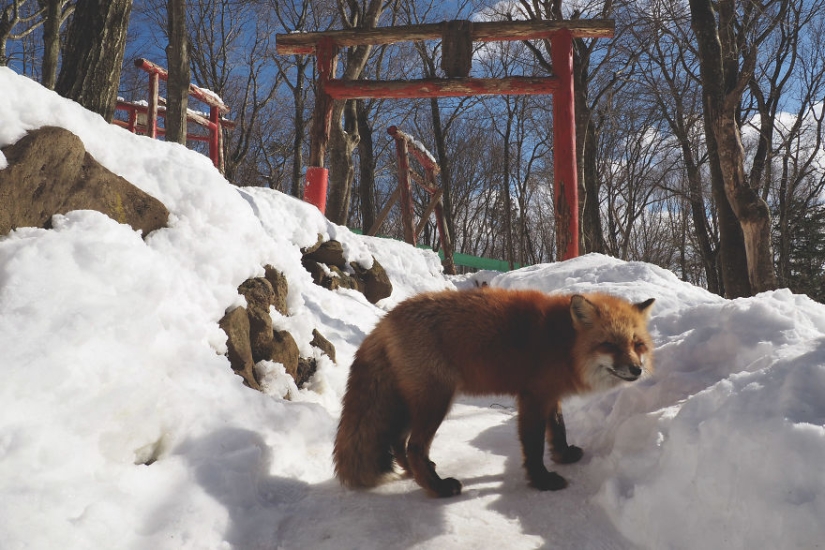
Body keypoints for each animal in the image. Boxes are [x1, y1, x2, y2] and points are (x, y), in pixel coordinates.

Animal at [333, 287, 655, 498]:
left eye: (637, 344)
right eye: (609, 344)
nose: (637, 370)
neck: (563, 343)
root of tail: (384, 321)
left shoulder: (550, 394)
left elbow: (559, 429)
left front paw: (563, 455)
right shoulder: (533, 397)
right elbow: (534, 445)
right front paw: (542, 480)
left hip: (415, 404)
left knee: (399, 442)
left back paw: (416, 474)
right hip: (436, 400)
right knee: (414, 446)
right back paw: (437, 487)